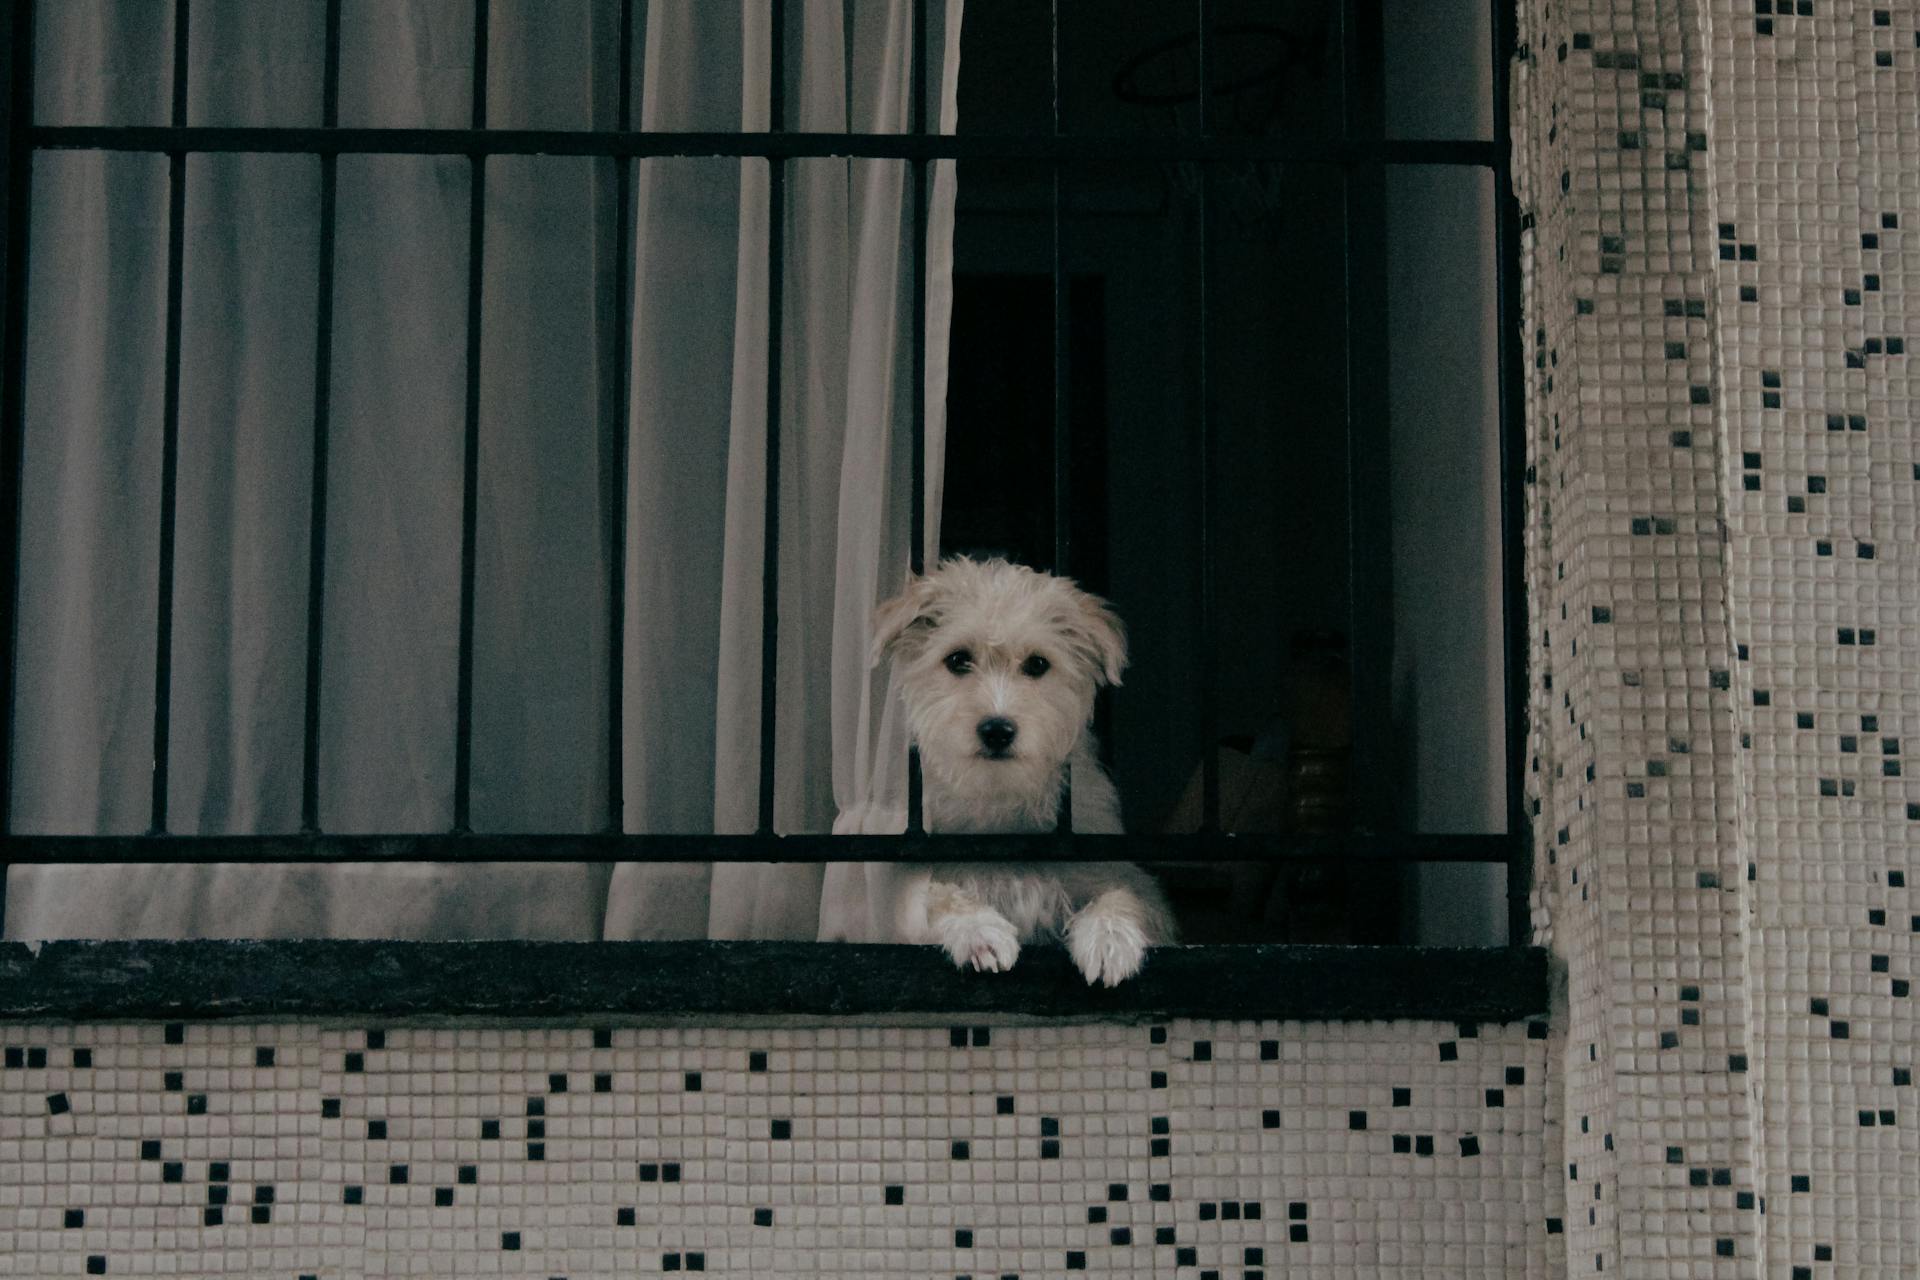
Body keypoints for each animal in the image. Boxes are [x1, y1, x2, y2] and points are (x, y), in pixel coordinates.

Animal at [871, 556, 1167, 990]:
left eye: (1038, 664)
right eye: (958, 659)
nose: (997, 729)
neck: (1003, 808)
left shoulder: (1110, 868)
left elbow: (1121, 893)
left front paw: (1109, 939)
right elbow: (938, 894)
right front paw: (978, 930)